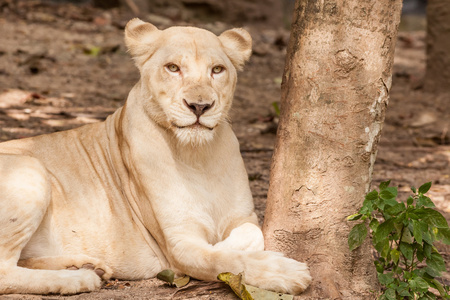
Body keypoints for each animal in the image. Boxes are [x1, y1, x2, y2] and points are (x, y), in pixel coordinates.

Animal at [0, 18, 310, 296]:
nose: (200, 106)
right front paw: (286, 272)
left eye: (217, 70)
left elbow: (251, 235)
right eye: (173, 68)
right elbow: (221, 258)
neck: (198, 156)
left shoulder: (244, 216)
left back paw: (85, 267)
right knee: (5, 272)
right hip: (30, 168)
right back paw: (78, 279)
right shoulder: (177, 241)